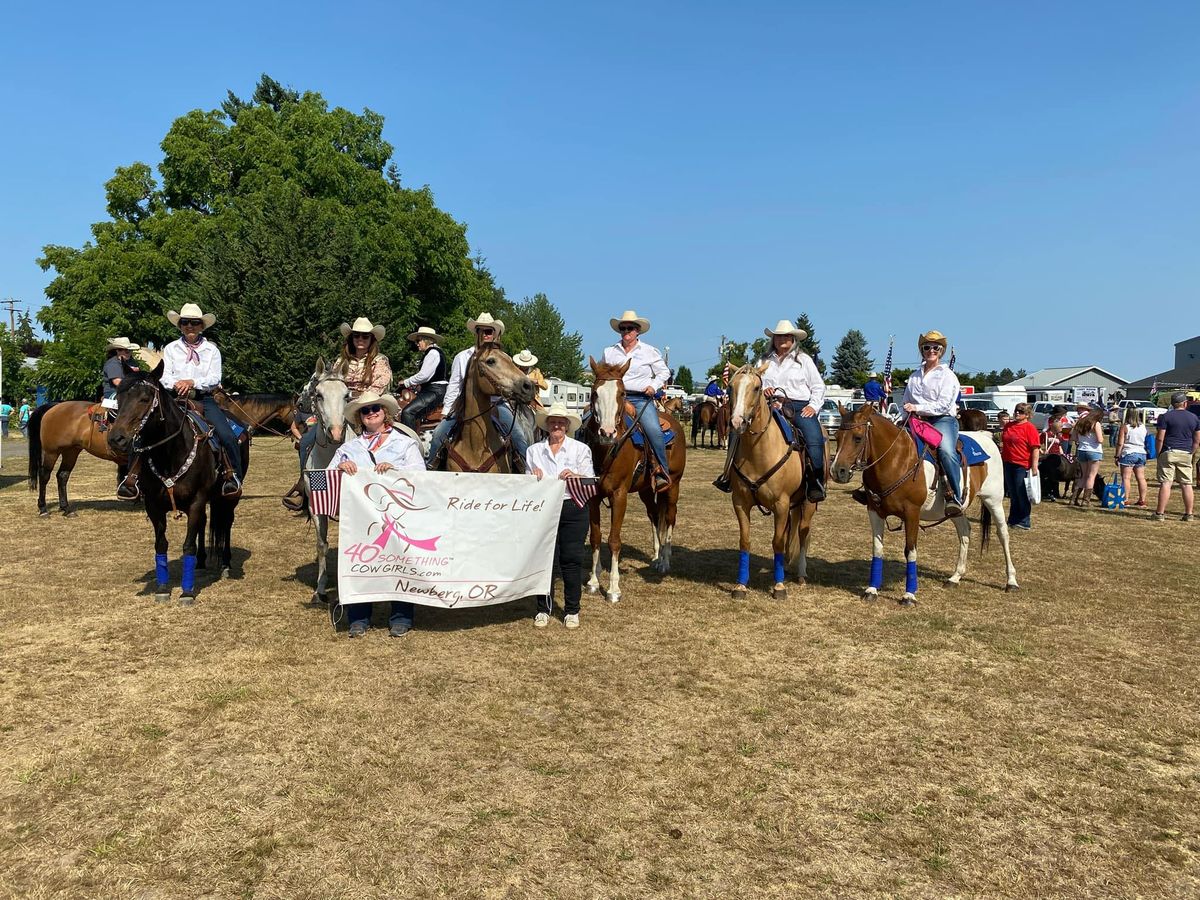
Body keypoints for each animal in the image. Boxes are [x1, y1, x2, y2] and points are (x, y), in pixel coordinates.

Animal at [108, 362, 246, 609]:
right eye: (119, 399)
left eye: (145, 398)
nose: (116, 439)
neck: (170, 454)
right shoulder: (153, 506)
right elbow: (161, 545)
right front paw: (163, 588)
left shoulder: (196, 501)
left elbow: (188, 544)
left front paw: (187, 592)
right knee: (204, 523)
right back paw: (200, 563)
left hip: (230, 498)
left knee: (227, 523)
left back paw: (226, 564)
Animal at [580, 355, 686, 602]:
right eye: (594, 393)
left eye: (622, 394)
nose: (607, 433)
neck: (607, 451)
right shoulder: (593, 497)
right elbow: (596, 537)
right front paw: (593, 581)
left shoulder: (619, 496)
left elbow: (614, 540)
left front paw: (613, 589)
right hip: (646, 490)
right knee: (655, 515)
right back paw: (656, 556)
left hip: (673, 486)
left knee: (670, 517)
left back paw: (665, 561)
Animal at [720, 362, 816, 602]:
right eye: (731, 388)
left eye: (756, 388)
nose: (736, 422)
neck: (759, 452)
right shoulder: (740, 503)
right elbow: (745, 541)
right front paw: (740, 585)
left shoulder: (781, 504)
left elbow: (778, 542)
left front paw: (779, 586)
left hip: (809, 503)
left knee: (803, 532)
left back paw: (800, 573)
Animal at [830, 403, 1017, 607]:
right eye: (837, 437)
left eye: (857, 438)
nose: (837, 471)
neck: (897, 460)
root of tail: (986, 436)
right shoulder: (874, 511)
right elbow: (877, 549)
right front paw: (871, 590)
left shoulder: (912, 513)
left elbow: (910, 551)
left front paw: (909, 595)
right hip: (957, 510)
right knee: (965, 532)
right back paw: (955, 577)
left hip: (993, 500)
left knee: (1003, 534)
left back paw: (1011, 581)